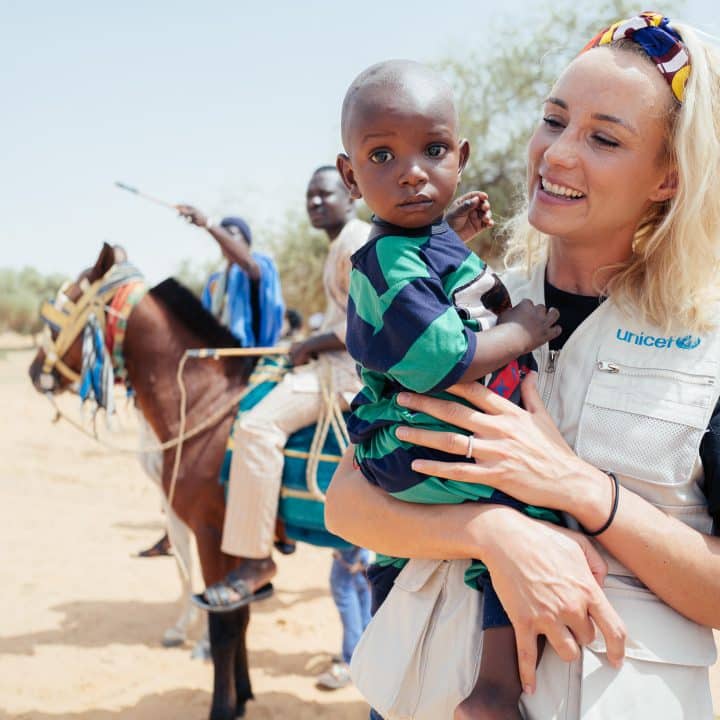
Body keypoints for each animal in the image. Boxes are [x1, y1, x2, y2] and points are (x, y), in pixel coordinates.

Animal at [28, 243, 340, 720]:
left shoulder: (210, 532)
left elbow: (224, 624)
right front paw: (243, 694)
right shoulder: (231, 542)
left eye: (62, 308)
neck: (205, 402)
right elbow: (242, 614)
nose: (32, 369)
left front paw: (221, 707)